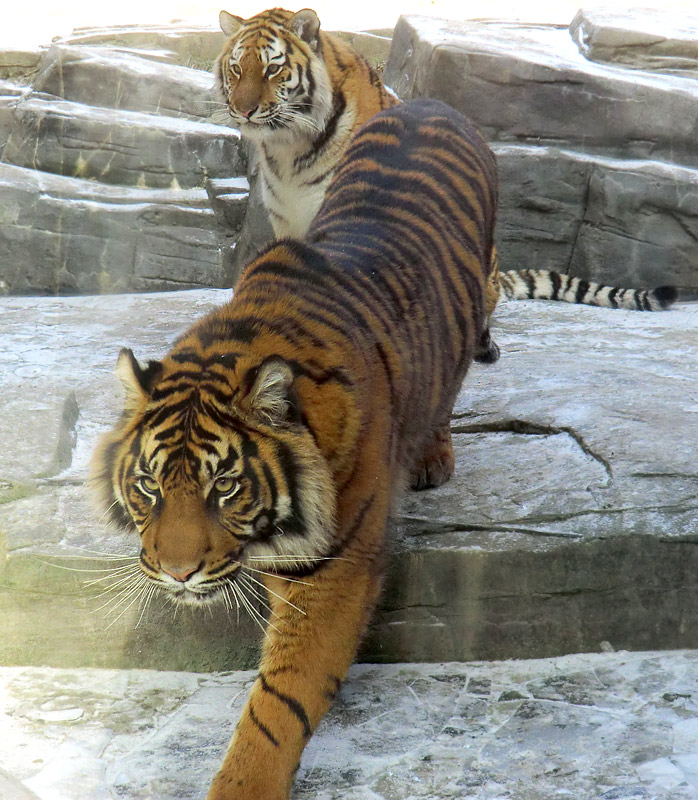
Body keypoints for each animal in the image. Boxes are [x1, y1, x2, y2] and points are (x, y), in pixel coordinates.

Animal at [88, 100, 500, 800]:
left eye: (224, 487)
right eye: (148, 485)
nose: (175, 573)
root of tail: (432, 103)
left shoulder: (333, 569)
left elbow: (279, 702)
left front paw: (241, 785)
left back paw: (431, 457)